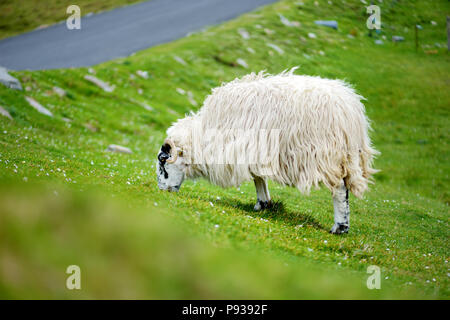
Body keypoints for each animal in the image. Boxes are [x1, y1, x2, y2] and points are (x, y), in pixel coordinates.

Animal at [156, 68, 378, 232]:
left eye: (163, 161)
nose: (161, 191)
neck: (205, 135)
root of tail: (351, 110)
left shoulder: (246, 148)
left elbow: (257, 177)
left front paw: (262, 203)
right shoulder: (255, 152)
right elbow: (259, 178)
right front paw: (263, 204)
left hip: (327, 156)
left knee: (340, 189)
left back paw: (339, 227)